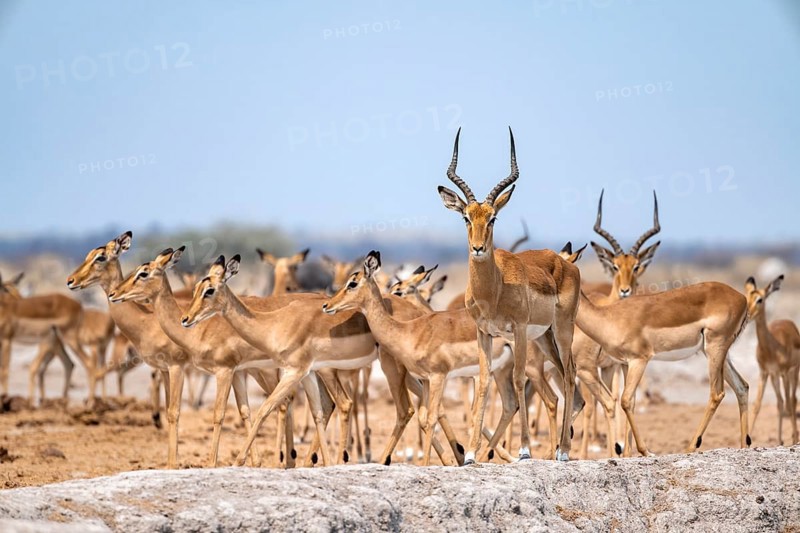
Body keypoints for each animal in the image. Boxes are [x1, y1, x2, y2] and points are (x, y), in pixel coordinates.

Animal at [438, 127, 581, 463]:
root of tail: (565, 263)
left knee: (569, 374)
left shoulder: (516, 329)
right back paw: (557, 448)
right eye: (466, 217)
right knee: (562, 377)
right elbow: (483, 383)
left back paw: (563, 452)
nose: (478, 248)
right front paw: (470, 454)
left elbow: (516, 379)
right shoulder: (484, 333)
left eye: (493, 218)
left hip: (562, 330)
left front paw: (525, 450)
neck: (495, 289)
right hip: (545, 337)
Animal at [746, 275, 800, 445]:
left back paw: (794, 438)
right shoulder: (764, 372)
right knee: (780, 402)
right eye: (746, 297)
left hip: (793, 373)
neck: (772, 347)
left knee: (792, 400)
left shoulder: (784, 372)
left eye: (760, 299)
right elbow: (757, 405)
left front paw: (794, 439)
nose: (748, 315)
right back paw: (779, 440)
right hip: (774, 377)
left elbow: (789, 402)